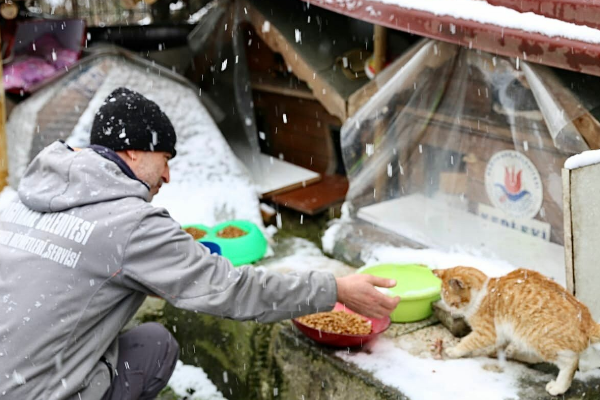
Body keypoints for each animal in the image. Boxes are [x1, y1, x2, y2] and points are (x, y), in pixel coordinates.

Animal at [434, 268, 600, 396]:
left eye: (451, 303)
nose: (449, 311)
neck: (483, 293)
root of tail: (588, 321)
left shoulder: (486, 333)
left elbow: (467, 341)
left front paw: (454, 350)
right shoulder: (502, 334)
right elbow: (497, 345)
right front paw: (493, 353)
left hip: (538, 336)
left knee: (571, 361)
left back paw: (559, 387)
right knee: (536, 358)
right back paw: (515, 354)